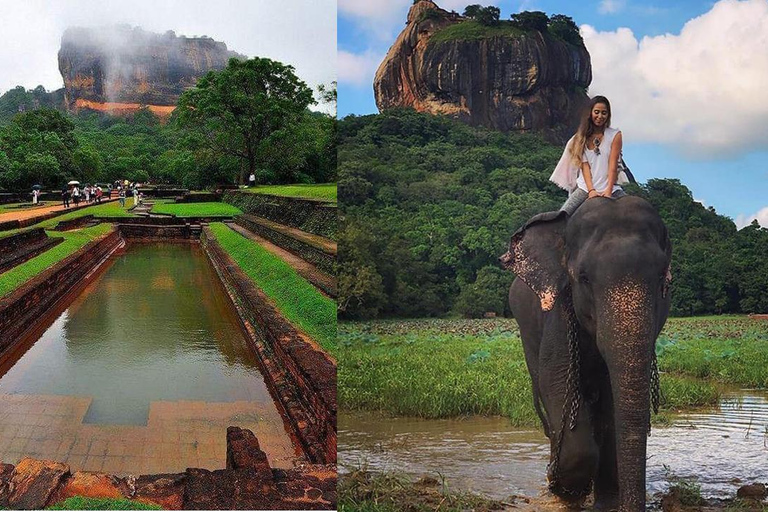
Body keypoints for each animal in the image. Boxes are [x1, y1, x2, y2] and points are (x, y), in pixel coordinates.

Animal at [498, 196, 672, 512]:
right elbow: (555, 381)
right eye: (584, 278)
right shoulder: (558, 314)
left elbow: (614, 409)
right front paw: (564, 491)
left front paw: (604, 503)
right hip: (526, 331)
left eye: (661, 279)